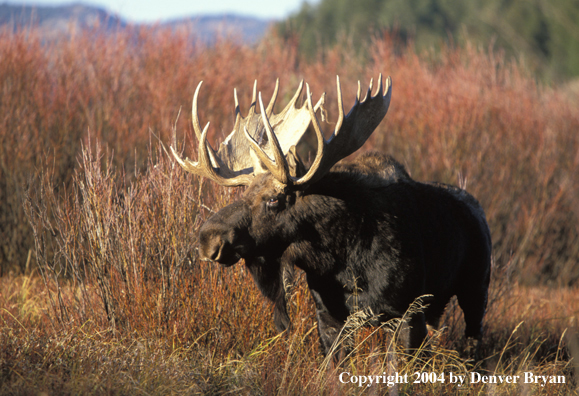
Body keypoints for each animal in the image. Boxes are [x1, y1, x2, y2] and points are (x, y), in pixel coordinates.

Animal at [170, 73, 492, 356]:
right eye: (243, 194)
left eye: (274, 199)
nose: (207, 239)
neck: (345, 261)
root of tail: (477, 208)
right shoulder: (328, 317)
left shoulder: (407, 313)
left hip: (476, 290)